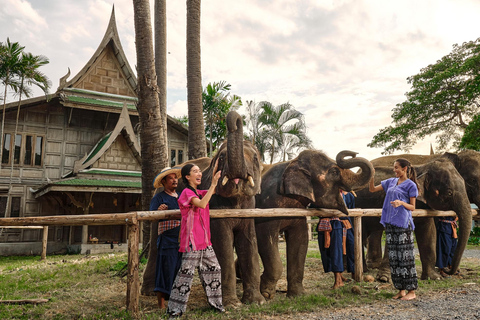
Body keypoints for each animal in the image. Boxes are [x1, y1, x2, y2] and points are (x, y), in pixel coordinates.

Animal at [255, 150, 376, 300]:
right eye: (334, 172)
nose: (353, 153)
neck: (292, 162)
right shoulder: (267, 206)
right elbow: (266, 237)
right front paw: (266, 293)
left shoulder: (299, 212)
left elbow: (300, 241)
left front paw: (298, 296)